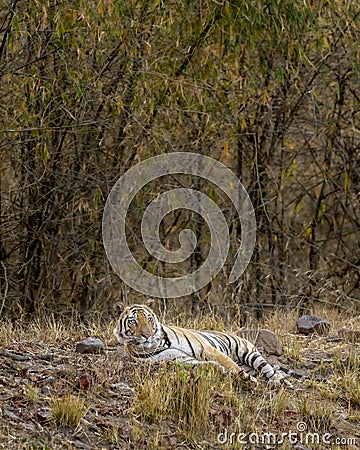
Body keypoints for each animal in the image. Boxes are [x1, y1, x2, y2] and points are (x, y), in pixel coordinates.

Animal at [113, 302, 292, 386]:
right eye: (134, 322)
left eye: (149, 319)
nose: (147, 335)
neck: (158, 343)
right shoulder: (177, 359)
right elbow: (201, 365)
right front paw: (219, 369)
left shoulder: (205, 348)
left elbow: (229, 364)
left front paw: (246, 380)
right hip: (249, 364)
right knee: (262, 373)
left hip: (249, 353)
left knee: (269, 370)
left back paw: (282, 382)